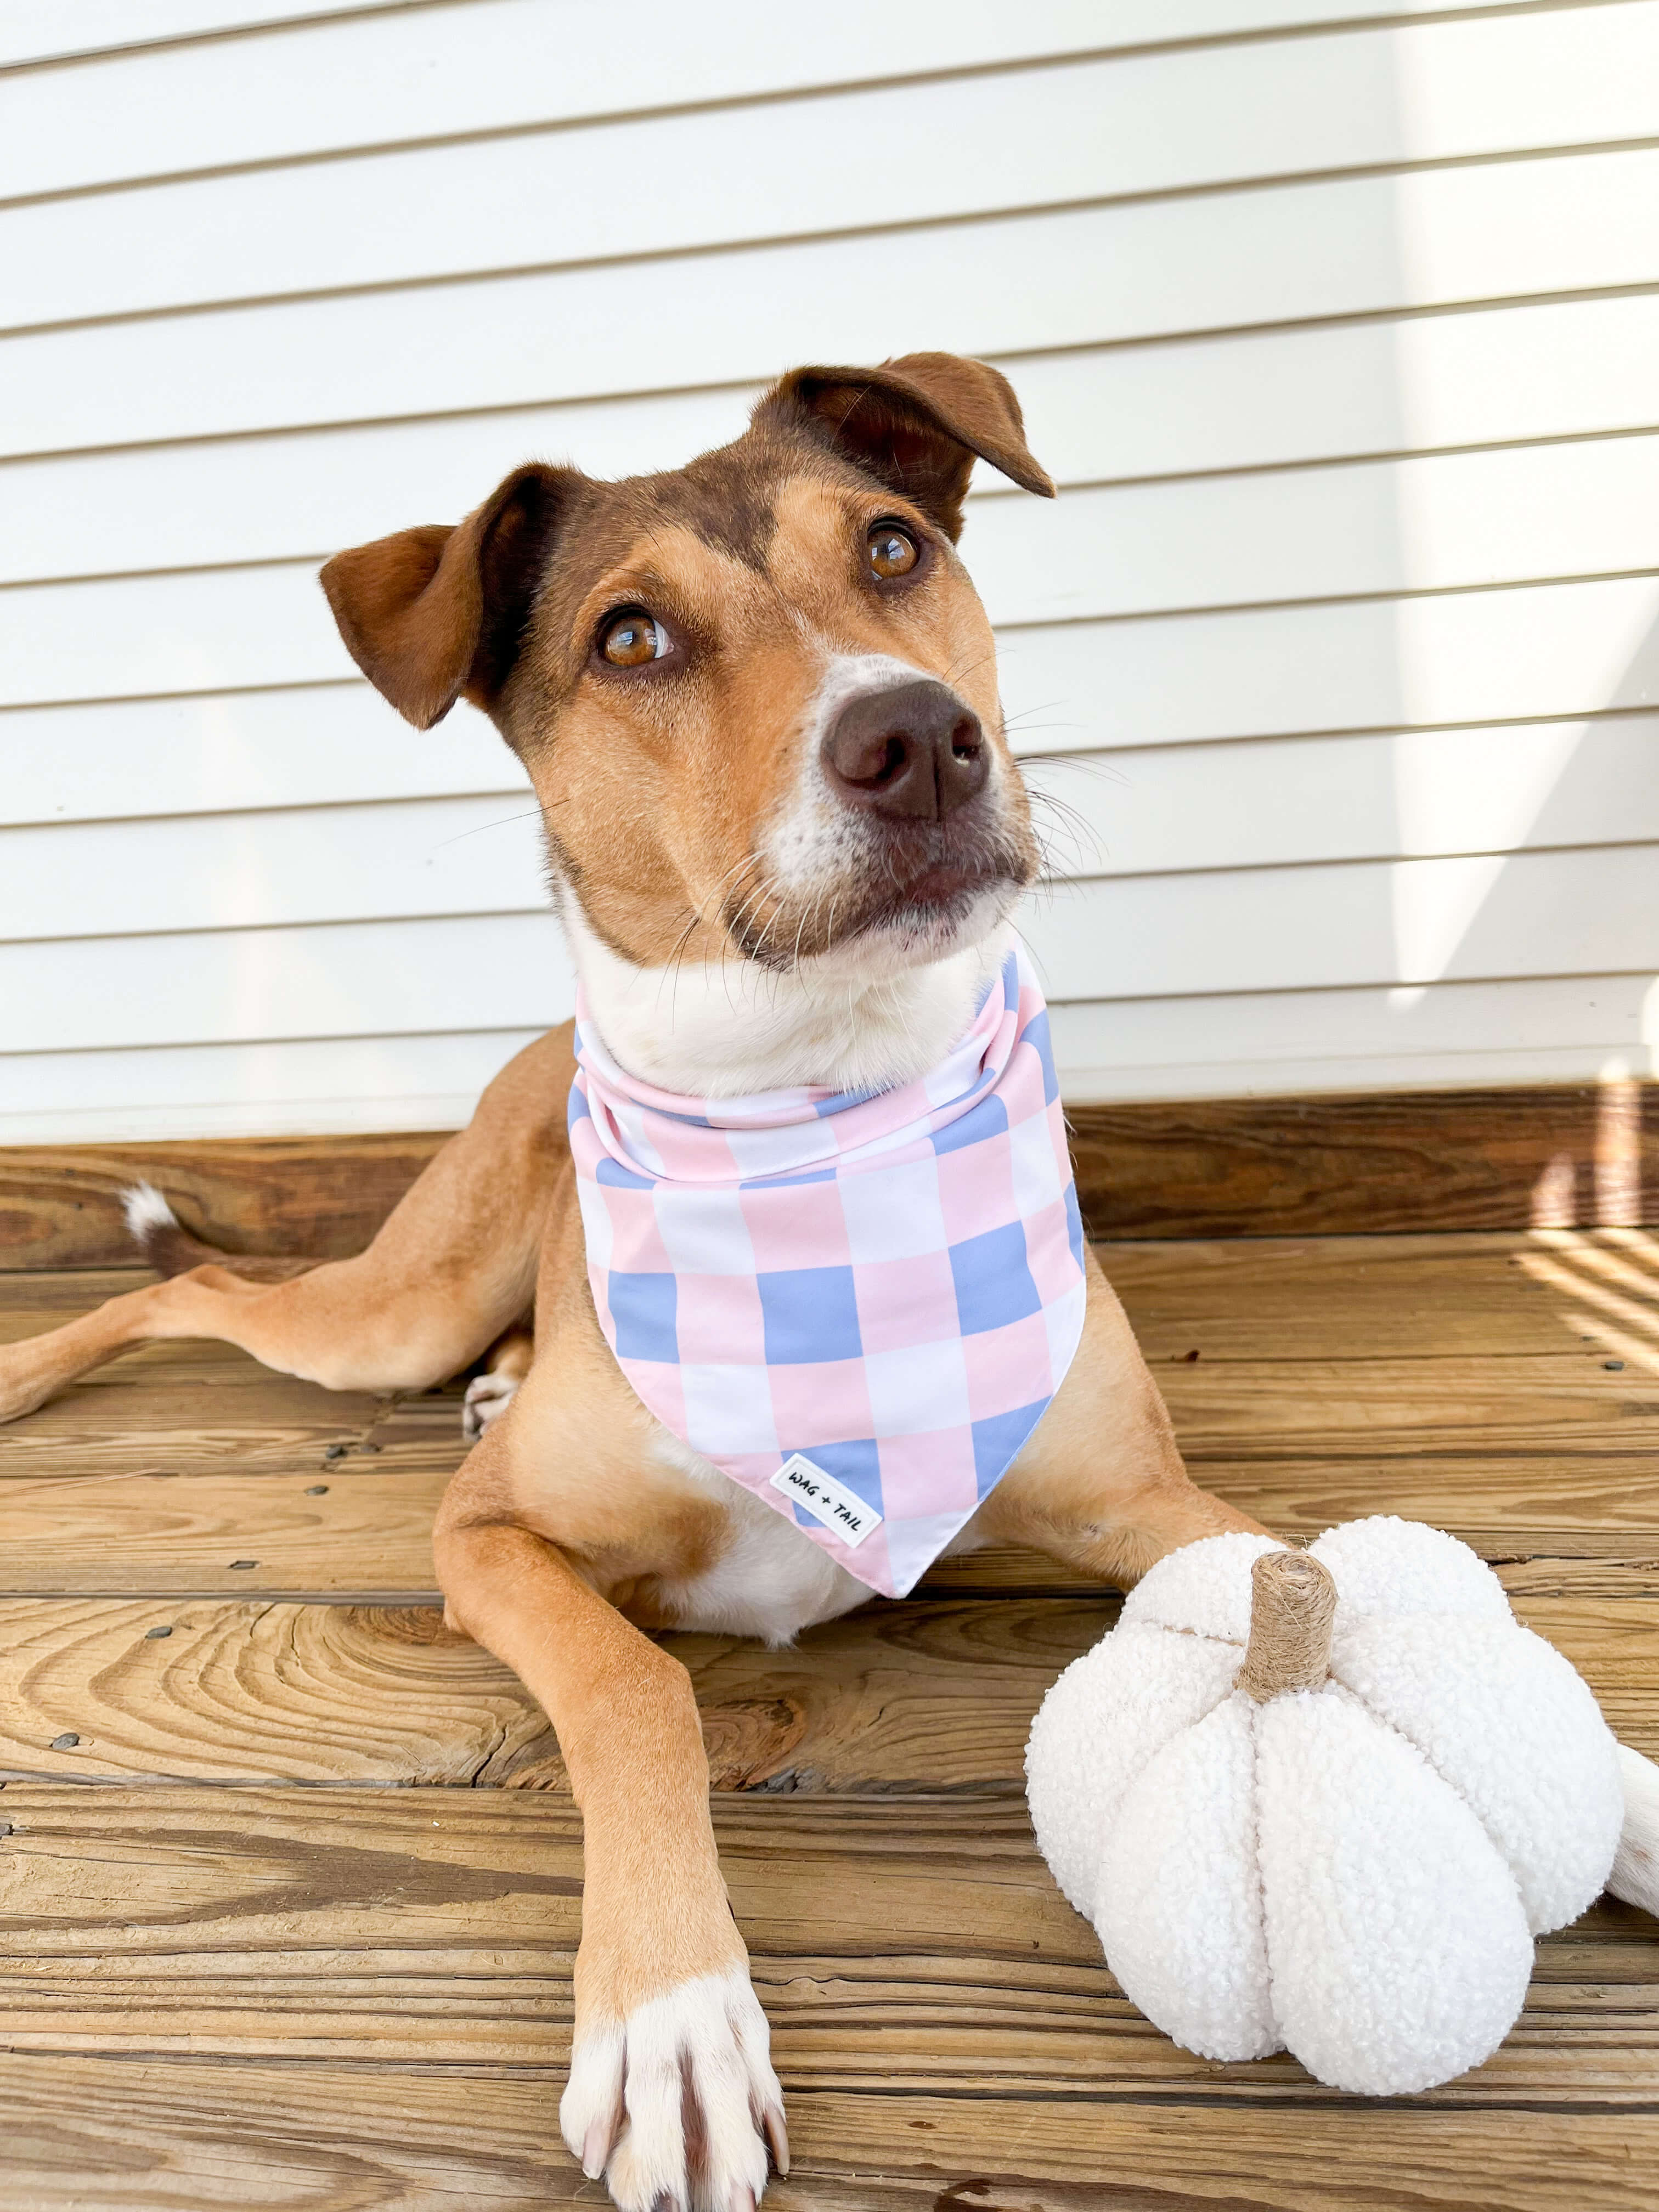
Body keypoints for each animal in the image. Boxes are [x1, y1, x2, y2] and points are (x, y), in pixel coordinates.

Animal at [0, 354, 1265, 2203]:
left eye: (893, 548)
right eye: (631, 638)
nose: (917, 742)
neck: (819, 1116)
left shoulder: (1148, 1503)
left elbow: (1343, 1583)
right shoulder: (485, 1544)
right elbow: (637, 1683)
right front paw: (672, 2020)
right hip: (388, 1314)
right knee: (195, 1295)